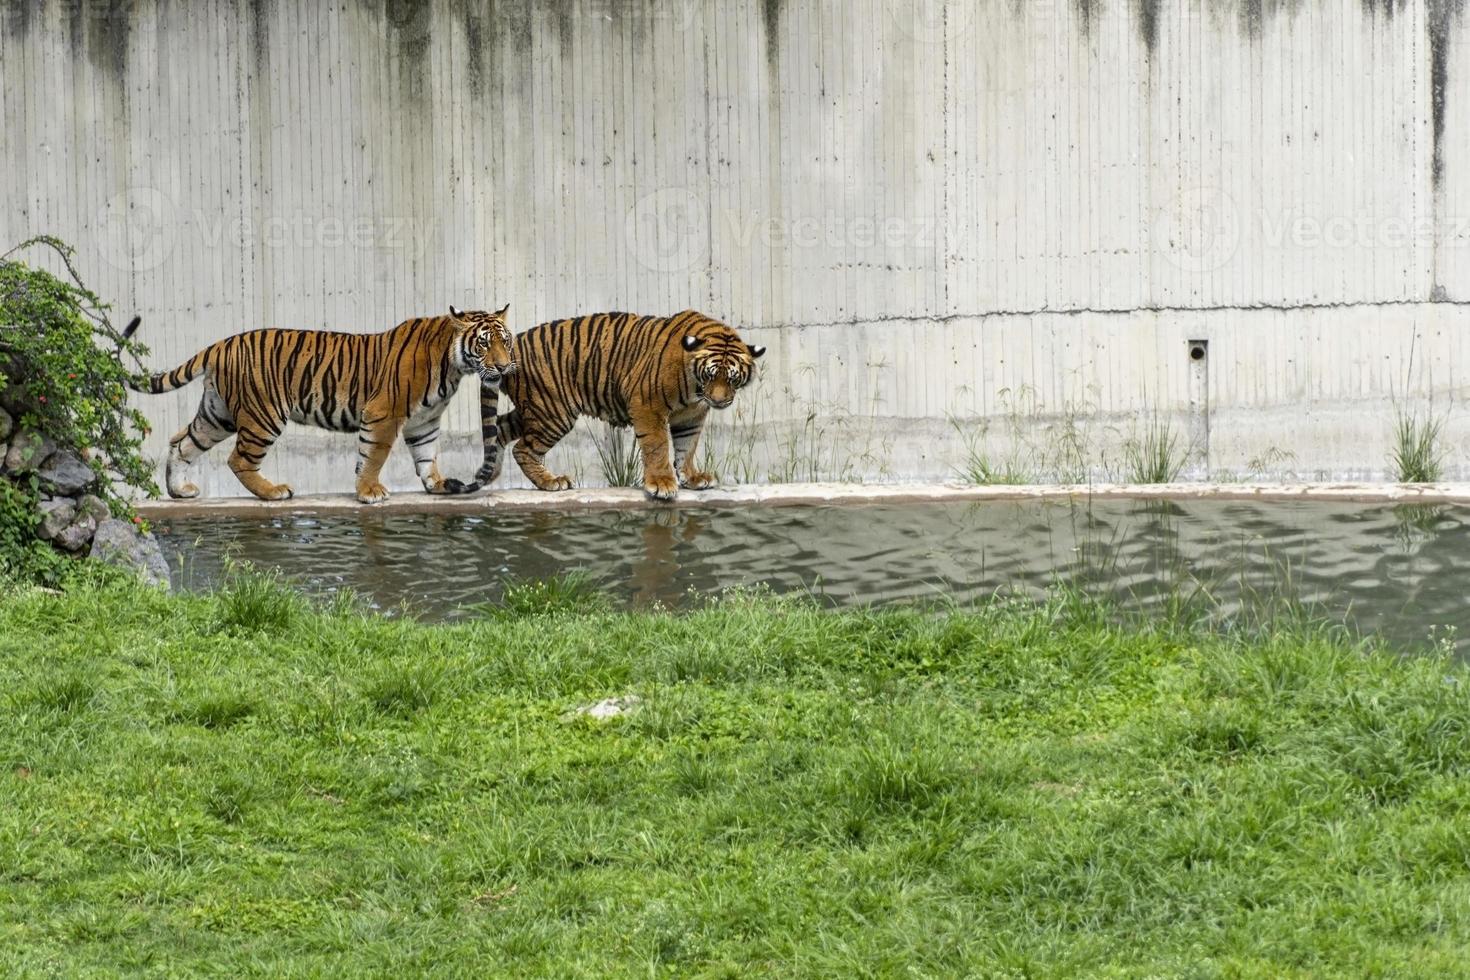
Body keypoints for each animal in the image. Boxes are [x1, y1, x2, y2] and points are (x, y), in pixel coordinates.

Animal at [123, 304, 520, 505]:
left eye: (506, 342)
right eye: (484, 344)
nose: (503, 367)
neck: (453, 365)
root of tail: (221, 343)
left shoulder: (424, 421)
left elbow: (426, 455)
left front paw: (436, 484)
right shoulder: (384, 413)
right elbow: (373, 455)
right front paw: (369, 491)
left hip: (217, 414)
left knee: (181, 442)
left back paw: (179, 491)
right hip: (263, 415)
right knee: (239, 459)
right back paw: (274, 492)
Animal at [467, 310, 770, 502]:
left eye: (732, 378)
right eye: (710, 374)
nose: (718, 400)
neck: (696, 390)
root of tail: (509, 347)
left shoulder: (691, 416)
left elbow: (687, 447)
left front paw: (692, 478)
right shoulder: (648, 404)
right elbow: (658, 446)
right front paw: (662, 484)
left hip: (535, 410)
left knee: (500, 427)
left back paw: (493, 474)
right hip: (553, 412)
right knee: (523, 449)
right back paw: (551, 482)